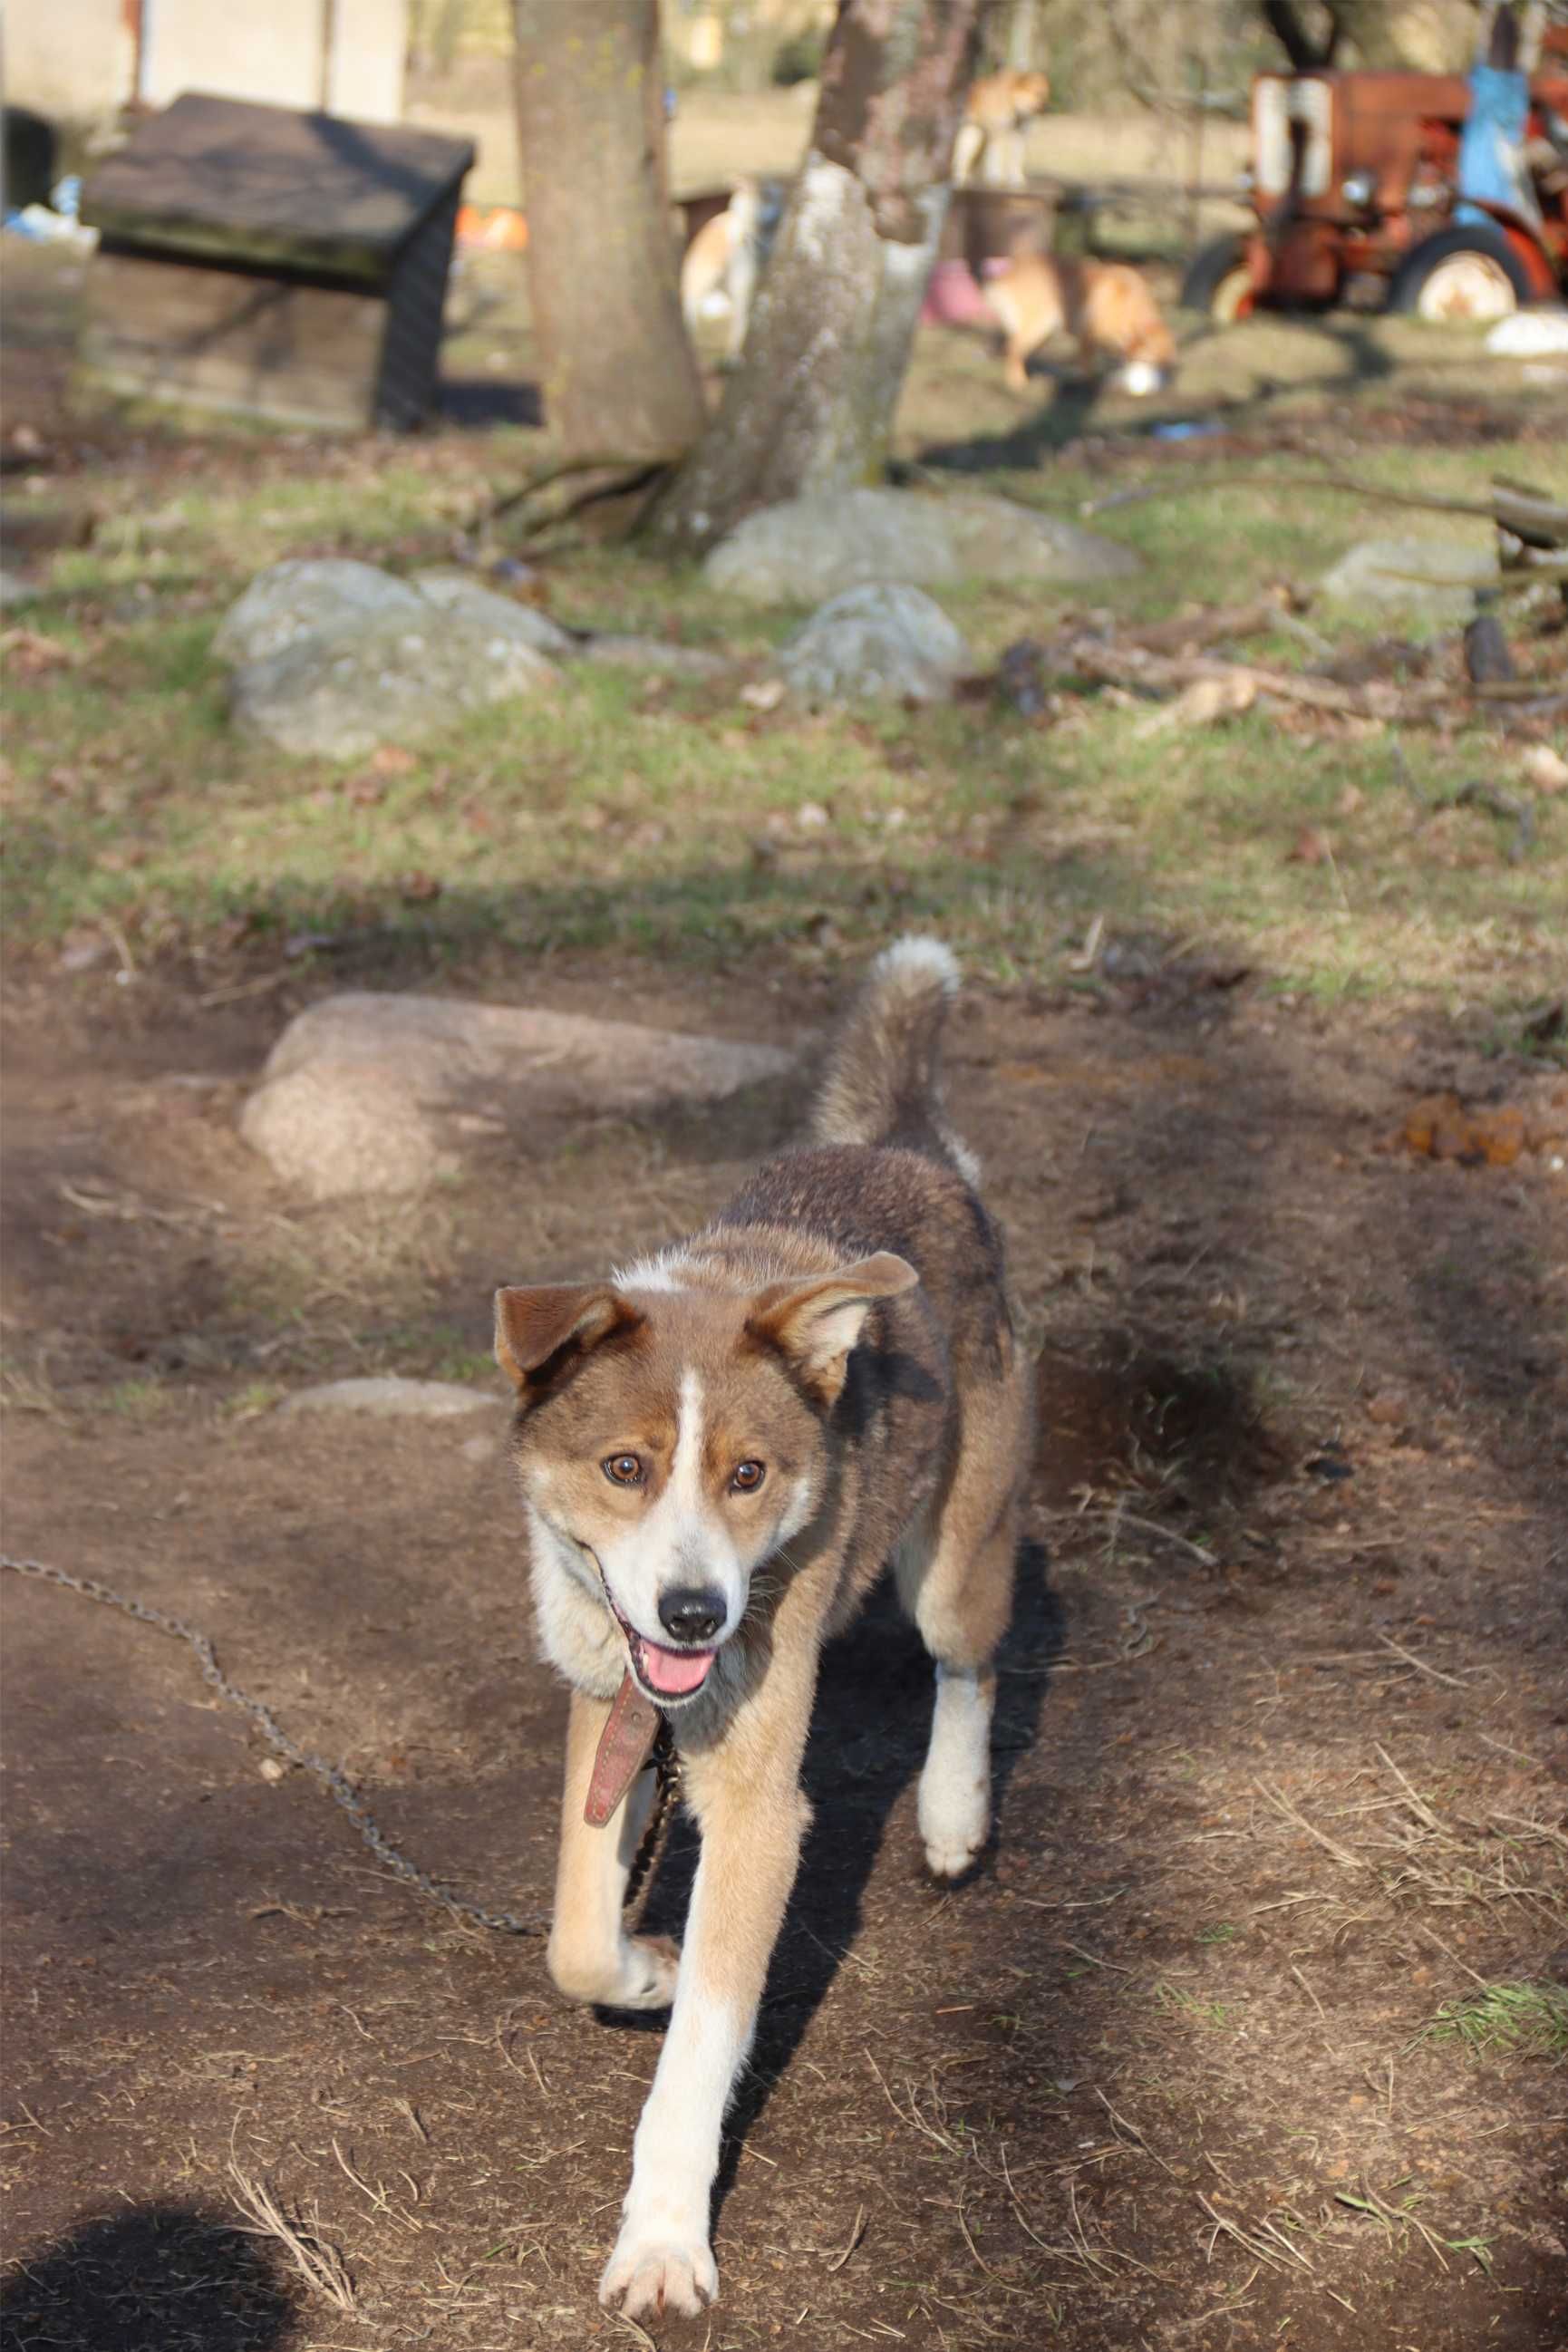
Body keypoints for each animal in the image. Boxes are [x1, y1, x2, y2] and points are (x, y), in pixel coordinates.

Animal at [496, 935, 1034, 2314]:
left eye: (747, 1474)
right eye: (625, 1467)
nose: (695, 1613)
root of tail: (904, 1144)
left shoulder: (751, 1807)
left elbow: (704, 2046)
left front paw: (662, 2240)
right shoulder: (605, 1705)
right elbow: (574, 1937)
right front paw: (642, 1967)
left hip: (956, 1553)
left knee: (967, 1662)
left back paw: (949, 1814)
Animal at [982, 250, 1175, 397]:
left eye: (1167, 363)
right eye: (1151, 360)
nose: (1166, 382)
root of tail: (1004, 277)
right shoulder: (1087, 338)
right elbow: (1088, 366)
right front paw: (1090, 386)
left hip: (1044, 333)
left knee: (1020, 352)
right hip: (1038, 328)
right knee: (1013, 349)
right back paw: (1017, 382)